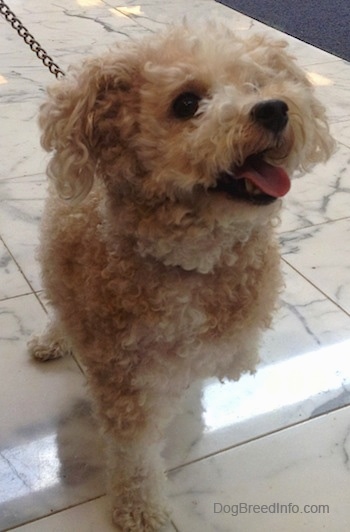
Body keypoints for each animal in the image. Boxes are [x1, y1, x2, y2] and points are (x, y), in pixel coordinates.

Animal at [29, 22, 334, 528]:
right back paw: (54, 338)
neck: (193, 261)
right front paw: (141, 509)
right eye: (187, 103)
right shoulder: (126, 382)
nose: (274, 108)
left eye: (257, 83)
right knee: (59, 305)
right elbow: (135, 456)